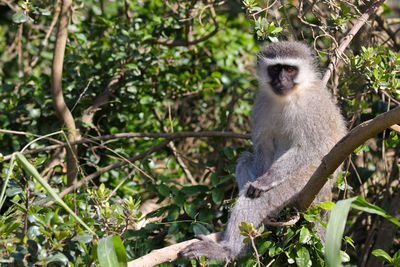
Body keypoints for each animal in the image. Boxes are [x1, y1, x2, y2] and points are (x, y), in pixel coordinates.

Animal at [180, 41, 346, 262]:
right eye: (275, 69)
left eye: (290, 69)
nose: (281, 80)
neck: (290, 97)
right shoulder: (261, 104)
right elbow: (263, 147)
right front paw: (259, 178)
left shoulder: (312, 107)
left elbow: (313, 147)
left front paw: (266, 180)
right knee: (245, 160)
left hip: (304, 183)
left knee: (259, 198)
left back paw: (229, 250)